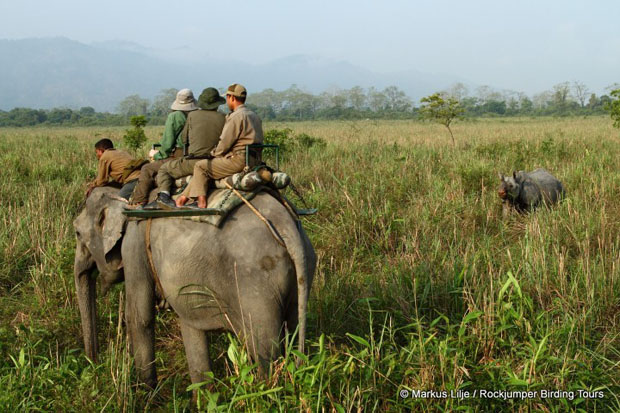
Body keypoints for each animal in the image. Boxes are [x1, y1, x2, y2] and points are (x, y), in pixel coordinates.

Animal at [74, 185, 314, 384]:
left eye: (77, 233)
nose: (93, 363)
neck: (125, 197)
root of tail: (285, 224)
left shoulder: (135, 244)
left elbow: (139, 317)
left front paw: (146, 392)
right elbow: (189, 327)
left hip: (255, 286)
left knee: (265, 354)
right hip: (298, 276)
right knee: (294, 329)